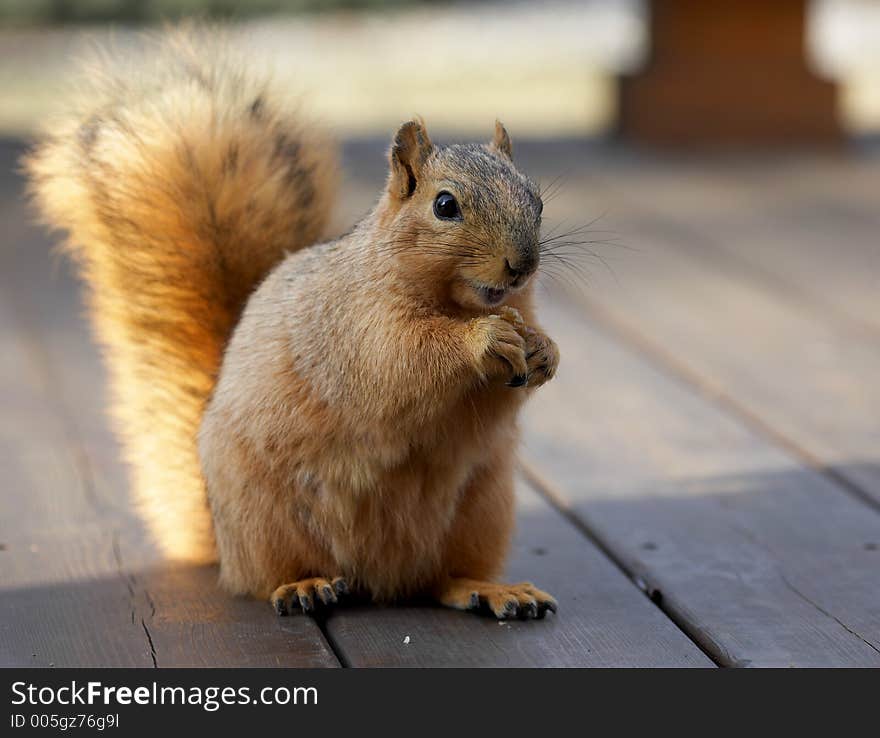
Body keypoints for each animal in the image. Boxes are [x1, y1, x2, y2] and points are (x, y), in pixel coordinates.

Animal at [32, 30, 564, 616]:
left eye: (537, 200)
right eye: (445, 205)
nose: (522, 265)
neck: (460, 301)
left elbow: (494, 403)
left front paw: (545, 348)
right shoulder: (350, 327)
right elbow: (400, 361)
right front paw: (484, 339)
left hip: (482, 507)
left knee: (442, 578)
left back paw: (490, 588)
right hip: (265, 515)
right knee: (269, 575)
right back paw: (304, 585)